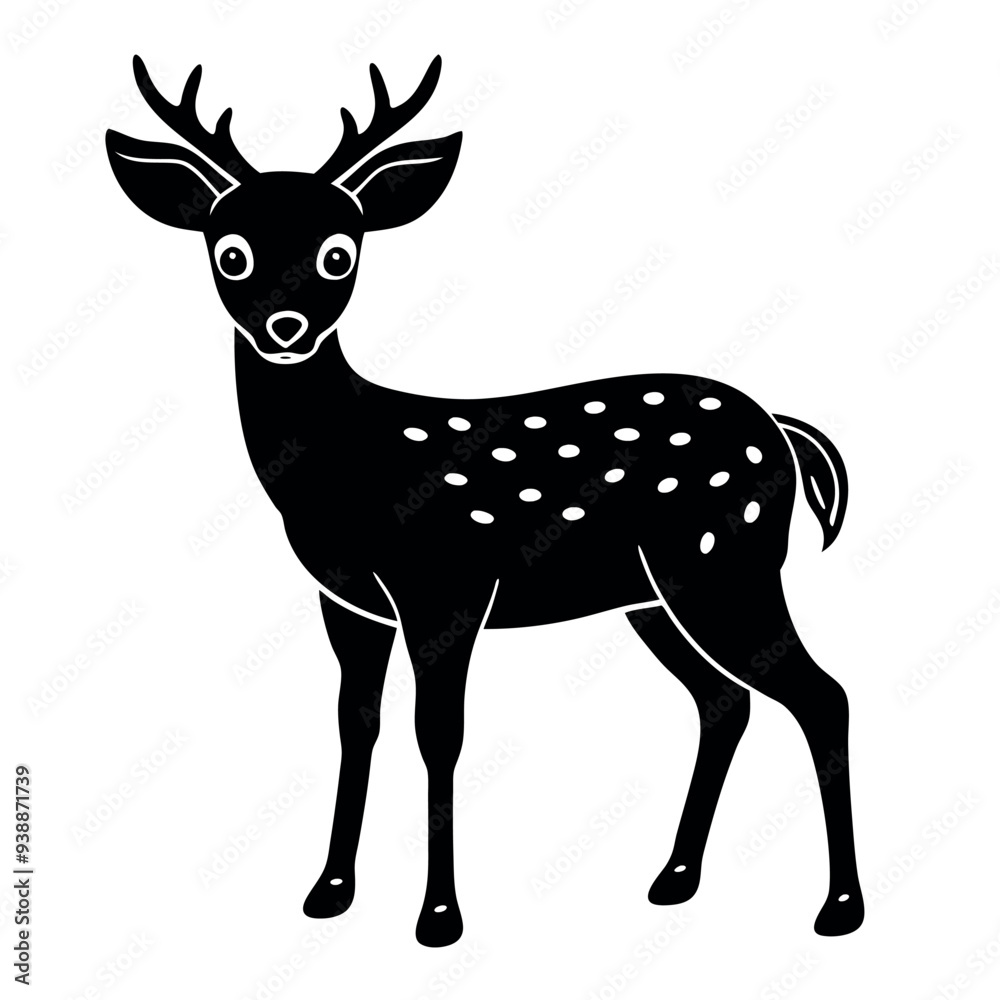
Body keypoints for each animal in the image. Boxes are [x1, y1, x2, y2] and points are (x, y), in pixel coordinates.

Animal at [105, 54, 863, 948]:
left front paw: (438, 917)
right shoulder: (348, 601)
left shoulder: (447, 583)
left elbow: (440, 735)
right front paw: (329, 892)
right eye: (228, 253)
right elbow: (355, 724)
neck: (346, 470)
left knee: (822, 696)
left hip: (725, 563)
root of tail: (783, 431)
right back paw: (674, 880)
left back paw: (839, 909)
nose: (284, 328)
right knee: (725, 702)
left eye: (339, 254)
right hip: (655, 594)